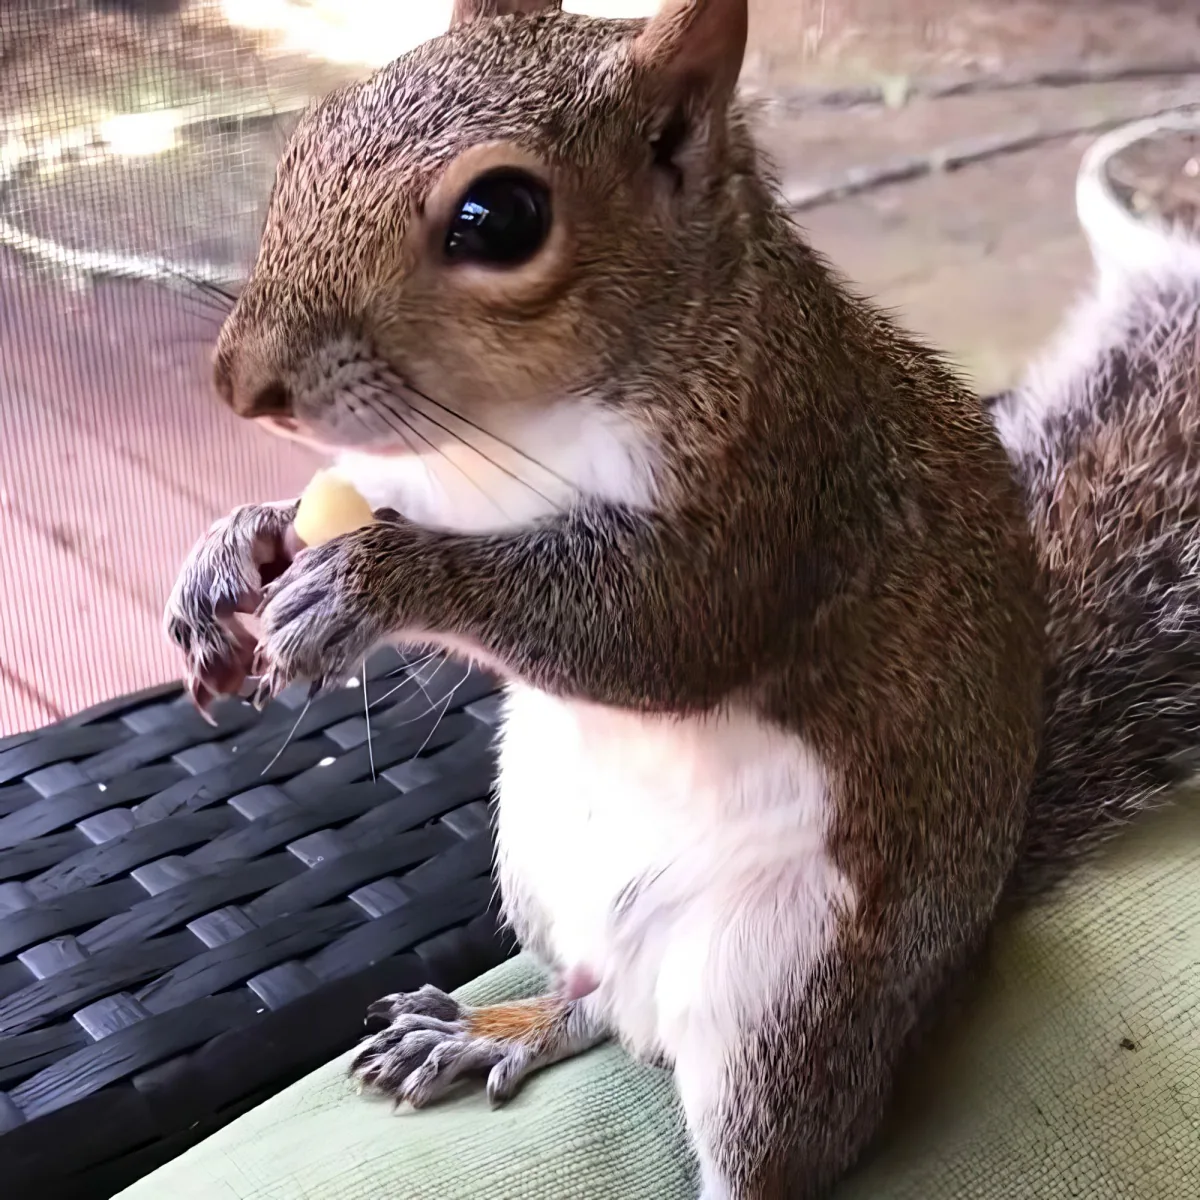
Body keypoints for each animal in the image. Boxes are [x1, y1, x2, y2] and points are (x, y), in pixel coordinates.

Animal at [163, 2, 1200, 1196]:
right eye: (310, 135)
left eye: (499, 218)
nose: (240, 385)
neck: (517, 429)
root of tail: (957, 963)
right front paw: (229, 553)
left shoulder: (780, 487)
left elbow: (654, 633)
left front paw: (369, 581)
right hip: (537, 865)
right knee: (599, 1005)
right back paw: (490, 1029)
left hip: (782, 999)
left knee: (779, 1144)